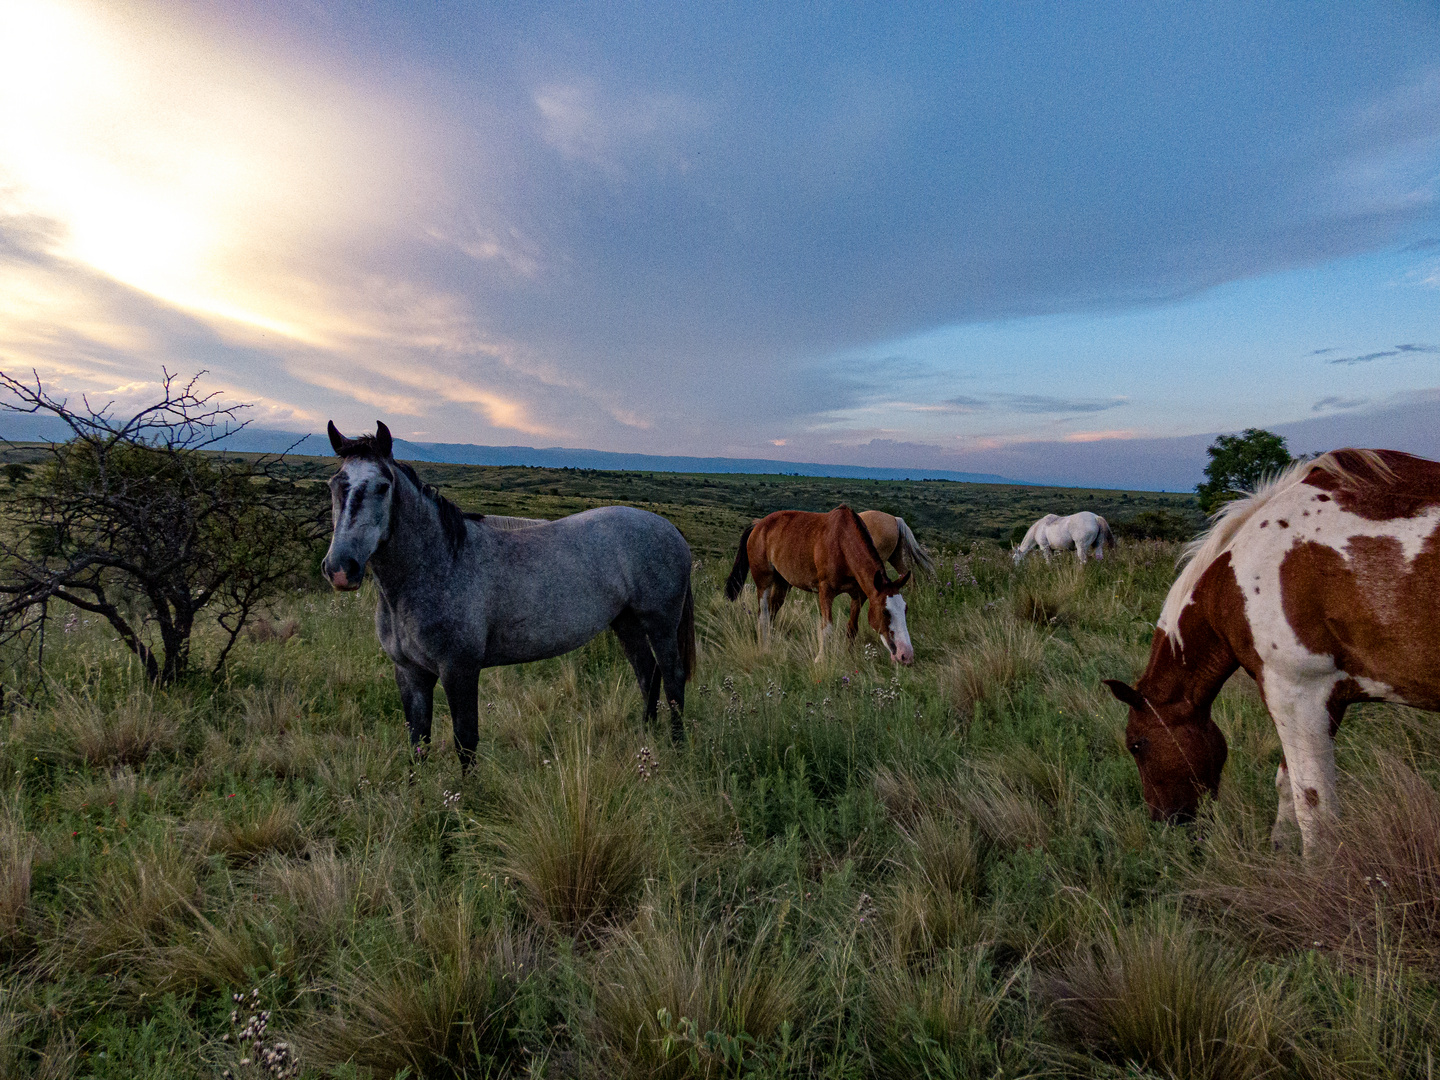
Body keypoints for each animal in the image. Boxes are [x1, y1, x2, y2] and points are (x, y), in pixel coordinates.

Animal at [319, 417, 696, 766]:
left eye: (383, 487)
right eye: (335, 484)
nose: (340, 569)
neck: (436, 565)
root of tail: (669, 528)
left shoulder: (459, 669)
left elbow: (465, 740)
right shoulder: (410, 673)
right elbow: (417, 741)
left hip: (661, 624)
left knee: (672, 679)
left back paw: (677, 748)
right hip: (626, 622)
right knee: (647, 674)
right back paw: (645, 739)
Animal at [725, 506, 915, 668]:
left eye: (905, 609)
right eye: (885, 611)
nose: (906, 655)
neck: (842, 543)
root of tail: (758, 525)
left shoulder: (858, 595)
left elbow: (852, 628)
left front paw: (849, 656)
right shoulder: (826, 592)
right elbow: (827, 627)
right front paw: (820, 658)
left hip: (782, 582)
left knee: (772, 611)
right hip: (763, 581)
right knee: (763, 615)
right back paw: (764, 647)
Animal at [1100, 446, 1440, 852]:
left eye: (1137, 745)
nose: (1164, 822)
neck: (1237, 578)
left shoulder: (1295, 693)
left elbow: (1314, 813)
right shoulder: (1325, 700)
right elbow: (1286, 784)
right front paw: (1278, 846)